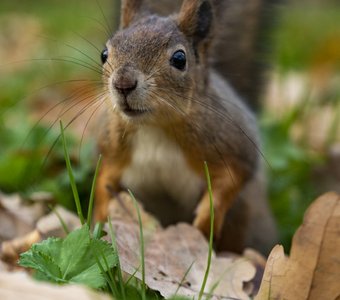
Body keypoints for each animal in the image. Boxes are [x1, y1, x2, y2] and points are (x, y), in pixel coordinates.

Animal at [94, 0, 278, 253]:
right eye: (104, 54)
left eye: (179, 59)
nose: (123, 83)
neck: (153, 126)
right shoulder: (112, 147)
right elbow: (104, 177)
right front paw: (100, 215)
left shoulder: (232, 142)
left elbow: (234, 176)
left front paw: (206, 220)